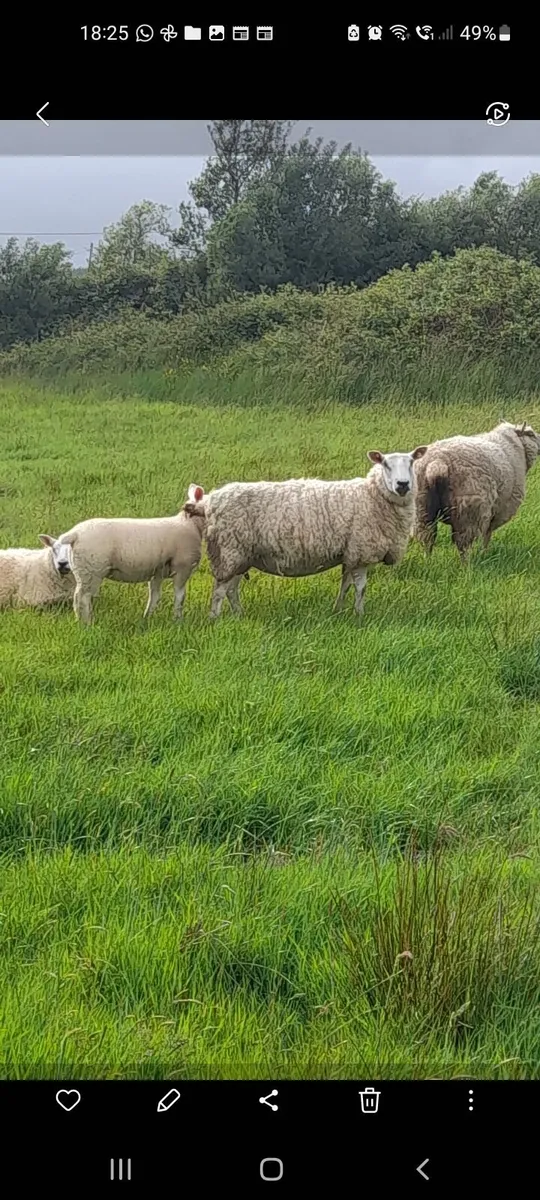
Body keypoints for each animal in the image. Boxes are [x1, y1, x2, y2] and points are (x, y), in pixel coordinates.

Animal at [40, 484, 206, 625]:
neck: (191, 524)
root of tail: (75, 533)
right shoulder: (183, 567)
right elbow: (180, 597)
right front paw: (178, 621)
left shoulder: (157, 571)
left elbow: (154, 597)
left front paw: (147, 618)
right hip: (91, 570)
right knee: (82, 598)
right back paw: (87, 624)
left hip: (83, 570)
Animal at [184, 448, 428, 620]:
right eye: (385, 464)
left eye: (412, 462)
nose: (403, 485)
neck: (372, 496)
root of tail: (209, 502)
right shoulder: (361, 552)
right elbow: (361, 588)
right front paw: (360, 615)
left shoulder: (350, 553)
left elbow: (345, 586)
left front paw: (338, 610)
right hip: (229, 551)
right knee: (219, 591)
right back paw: (214, 619)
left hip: (240, 555)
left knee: (231, 590)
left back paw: (238, 616)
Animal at [413, 421, 540, 561]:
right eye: (531, 434)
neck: (513, 445)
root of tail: (437, 463)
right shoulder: (499, 509)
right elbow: (487, 535)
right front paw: (484, 553)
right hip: (469, 511)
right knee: (463, 543)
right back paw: (467, 564)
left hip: (422, 508)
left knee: (427, 538)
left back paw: (427, 560)